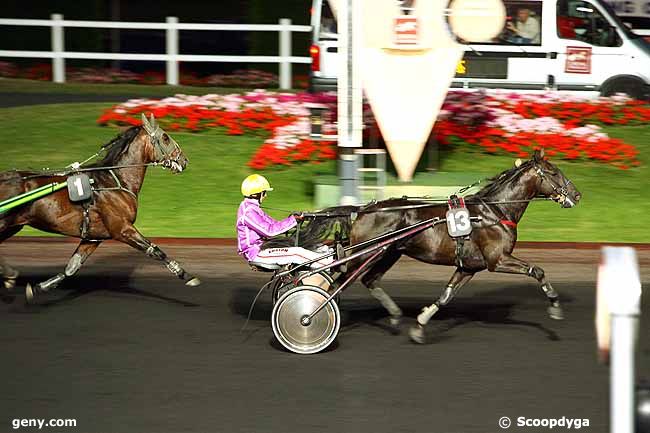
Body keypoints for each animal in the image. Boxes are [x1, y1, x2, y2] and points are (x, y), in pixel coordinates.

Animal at [0, 113, 200, 302]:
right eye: (165, 137)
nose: (184, 160)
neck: (115, 180)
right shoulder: (123, 229)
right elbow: (155, 250)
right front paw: (186, 275)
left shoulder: (93, 238)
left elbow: (71, 268)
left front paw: (39, 287)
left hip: (13, 226)